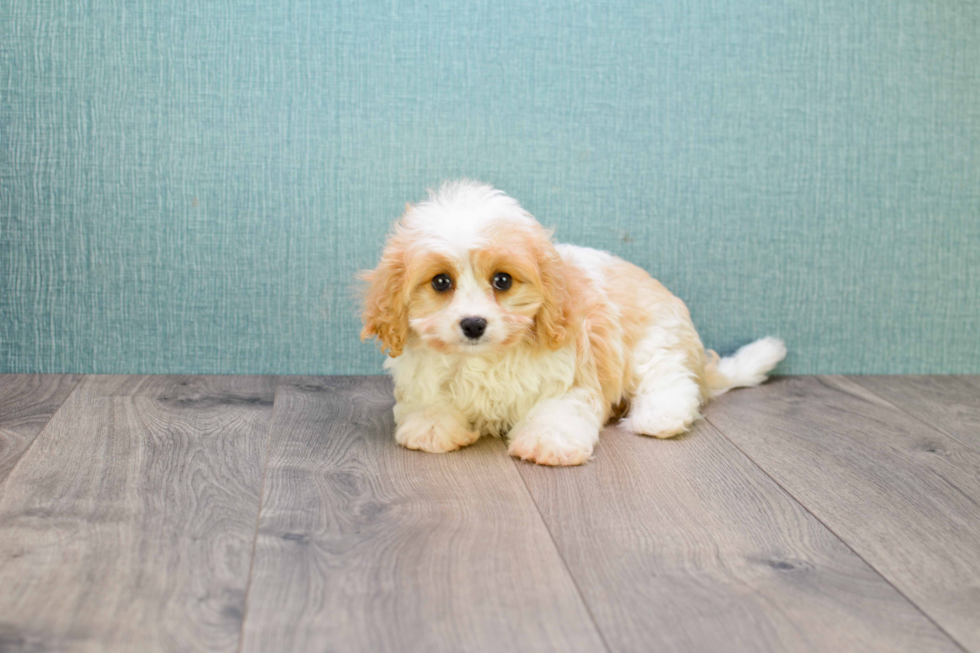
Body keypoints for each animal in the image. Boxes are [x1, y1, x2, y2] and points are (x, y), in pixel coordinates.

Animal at [356, 178, 784, 464]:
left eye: (502, 281)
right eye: (441, 282)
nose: (474, 324)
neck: (484, 359)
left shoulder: (570, 376)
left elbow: (558, 410)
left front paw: (547, 441)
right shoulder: (422, 377)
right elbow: (427, 402)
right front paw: (431, 427)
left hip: (655, 340)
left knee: (671, 378)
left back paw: (659, 417)